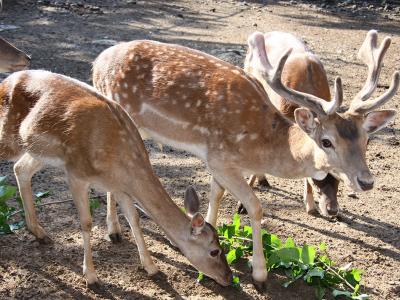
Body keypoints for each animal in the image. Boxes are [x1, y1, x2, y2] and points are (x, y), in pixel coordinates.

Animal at [0, 69, 231, 288]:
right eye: (214, 251)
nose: (228, 277)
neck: (119, 164)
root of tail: (6, 81)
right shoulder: (76, 172)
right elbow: (86, 223)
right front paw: (91, 277)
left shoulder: (119, 186)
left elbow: (134, 219)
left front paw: (151, 267)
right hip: (10, 140)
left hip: (37, 150)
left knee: (20, 169)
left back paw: (39, 232)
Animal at [93, 31, 396, 288]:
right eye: (326, 141)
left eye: (365, 139)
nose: (366, 181)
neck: (259, 145)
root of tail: (96, 63)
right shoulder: (219, 157)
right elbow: (255, 206)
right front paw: (259, 275)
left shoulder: (220, 163)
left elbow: (216, 194)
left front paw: (214, 231)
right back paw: (114, 231)